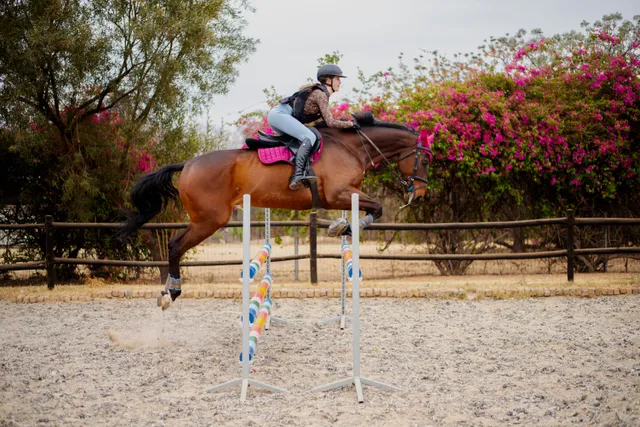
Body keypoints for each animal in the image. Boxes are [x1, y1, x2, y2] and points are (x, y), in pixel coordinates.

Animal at [119, 112, 432, 309]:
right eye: (426, 161)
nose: (419, 196)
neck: (352, 146)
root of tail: (187, 164)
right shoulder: (337, 194)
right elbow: (376, 208)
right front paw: (340, 227)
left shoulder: (345, 195)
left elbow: (371, 211)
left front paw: (343, 227)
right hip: (209, 221)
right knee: (174, 245)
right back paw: (171, 292)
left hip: (206, 220)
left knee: (174, 246)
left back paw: (166, 290)